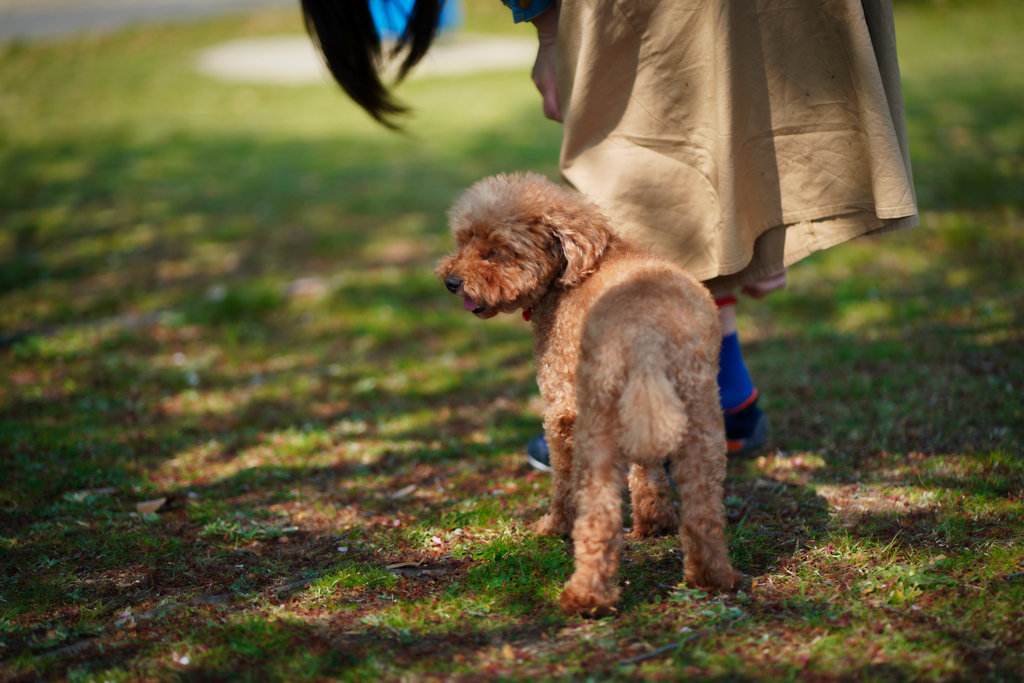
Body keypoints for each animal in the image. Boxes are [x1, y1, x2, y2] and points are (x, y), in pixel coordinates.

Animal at [436, 174, 741, 618]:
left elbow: (563, 483)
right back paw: (712, 578)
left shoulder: (562, 407)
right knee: (703, 509)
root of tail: (647, 335)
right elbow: (647, 469)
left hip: (599, 423)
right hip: (699, 416)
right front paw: (654, 522)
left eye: (493, 251)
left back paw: (585, 597)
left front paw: (553, 527)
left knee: (600, 516)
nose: (451, 281)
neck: (573, 269)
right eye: (463, 241)